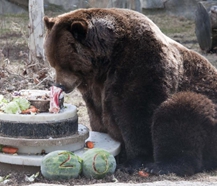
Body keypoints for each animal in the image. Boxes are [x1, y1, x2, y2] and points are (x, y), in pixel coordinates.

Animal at [43, 7, 217, 176]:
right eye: (52, 62)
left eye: (65, 64)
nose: (60, 85)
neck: (105, 61)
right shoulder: (95, 88)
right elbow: (97, 114)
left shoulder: (139, 62)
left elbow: (136, 112)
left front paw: (135, 161)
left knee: (183, 108)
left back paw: (163, 165)